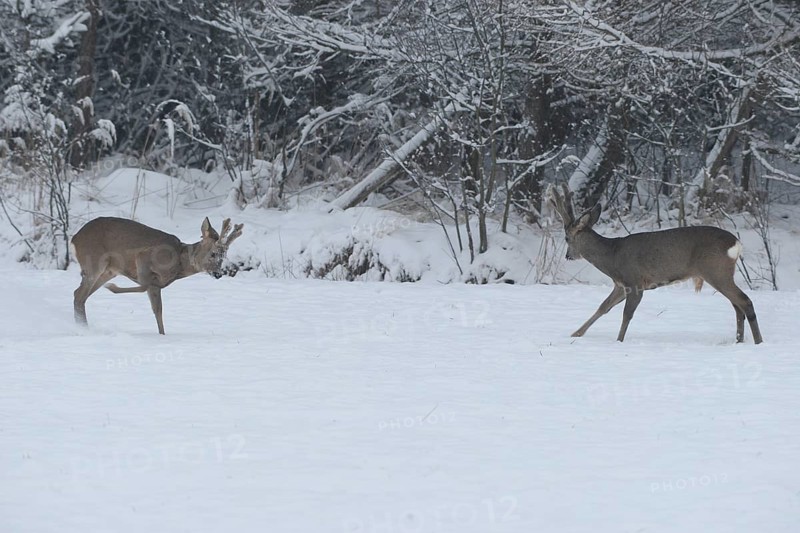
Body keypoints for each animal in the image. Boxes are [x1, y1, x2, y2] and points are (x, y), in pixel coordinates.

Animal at [71, 217, 243, 334]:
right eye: (213, 253)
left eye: (224, 256)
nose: (218, 274)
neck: (179, 263)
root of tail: (74, 239)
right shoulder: (143, 257)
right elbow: (145, 288)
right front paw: (113, 288)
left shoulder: (157, 286)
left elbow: (158, 310)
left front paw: (162, 335)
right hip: (94, 262)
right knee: (79, 295)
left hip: (108, 271)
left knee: (79, 295)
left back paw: (82, 326)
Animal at [547, 184, 762, 344]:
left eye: (566, 238)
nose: (568, 256)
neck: (612, 256)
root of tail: (736, 243)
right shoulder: (620, 285)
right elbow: (603, 307)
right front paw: (576, 333)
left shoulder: (635, 282)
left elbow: (626, 315)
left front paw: (618, 341)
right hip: (722, 273)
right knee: (737, 306)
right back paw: (739, 340)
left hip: (716, 270)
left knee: (744, 301)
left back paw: (758, 342)